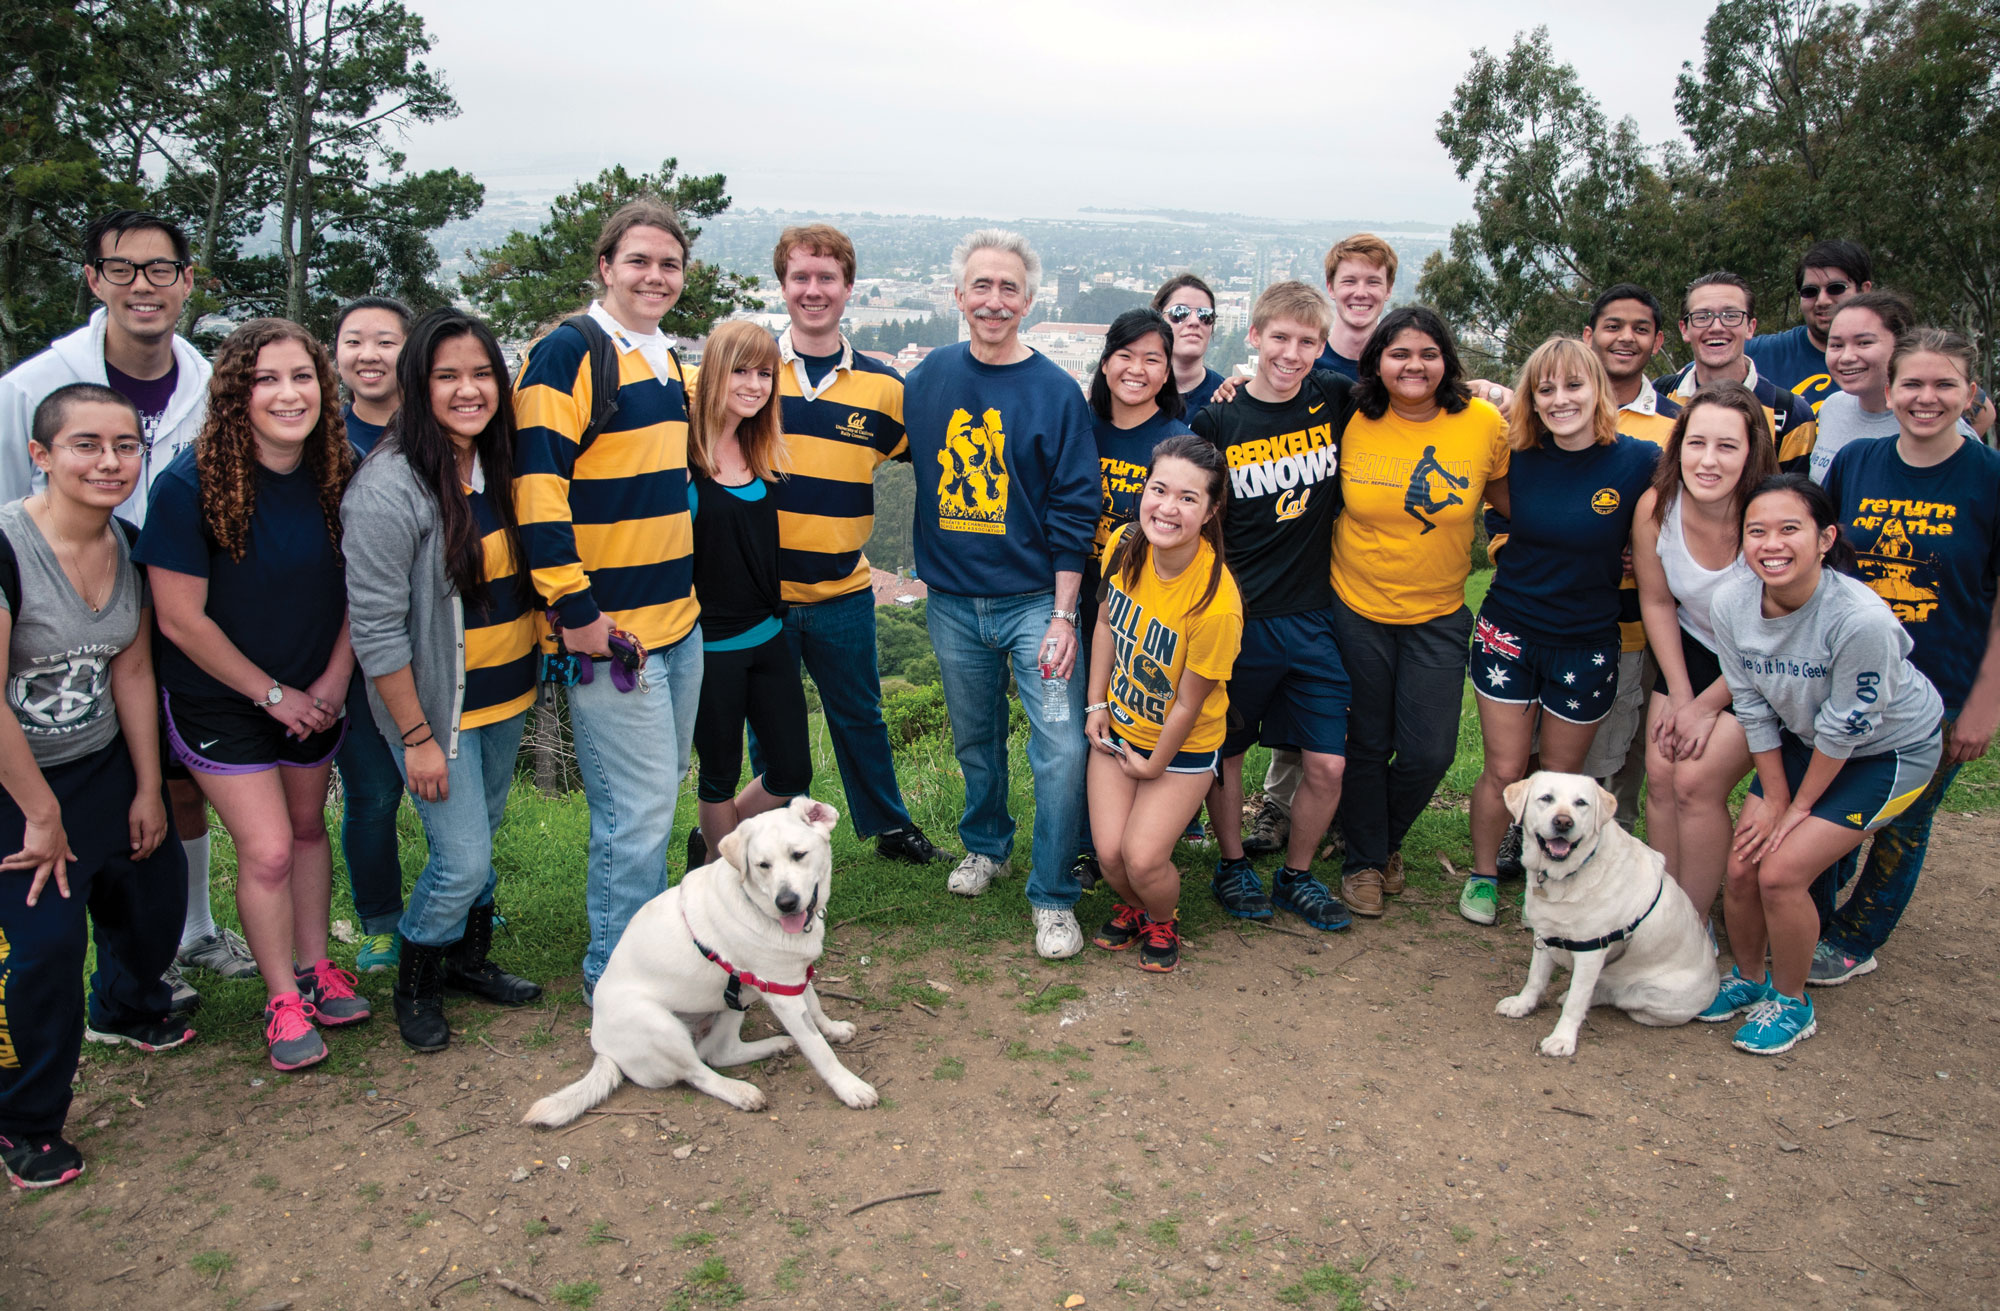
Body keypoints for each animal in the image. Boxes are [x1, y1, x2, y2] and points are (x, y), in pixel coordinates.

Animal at [524, 795, 876, 1119]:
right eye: (762, 865)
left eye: (798, 855)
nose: (786, 902)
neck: (757, 906)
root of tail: (602, 1049)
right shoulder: (782, 993)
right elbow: (818, 1047)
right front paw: (850, 1087)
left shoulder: (793, 976)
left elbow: (815, 1007)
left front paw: (833, 1029)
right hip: (662, 1027)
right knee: (699, 1072)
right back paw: (742, 1091)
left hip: (737, 1000)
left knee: (719, 1052)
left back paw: (776, 1045)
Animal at [1504, 771, 1720, 1063]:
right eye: (1546, 798)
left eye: (1581, 803)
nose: (1563, 822)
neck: (1569, 873)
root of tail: (1716, 981)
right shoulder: (1544, 935)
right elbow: (1535, 979)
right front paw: (1522, 1004)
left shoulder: (1590, 952)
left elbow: (1575, 1004)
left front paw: (1562, 1040)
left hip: (1652, 996)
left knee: (1616, 998)